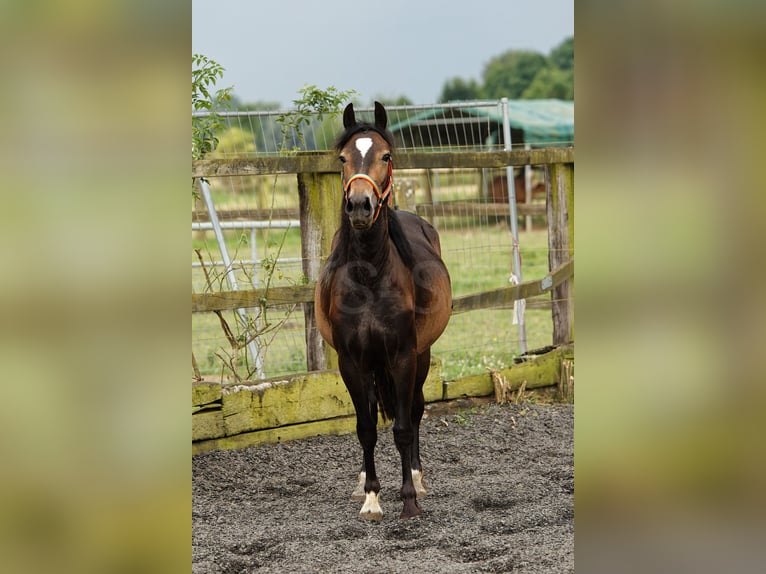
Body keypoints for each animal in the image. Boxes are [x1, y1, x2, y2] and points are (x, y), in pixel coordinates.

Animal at [316, 102, 452, 520]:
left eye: (386, 156)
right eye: (343, 158)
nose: (361, 205)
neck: (370, 276)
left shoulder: (403, 356)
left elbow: (404, 428)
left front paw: (408, 498)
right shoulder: (352, 362)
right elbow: (365, 428)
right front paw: (372, 497)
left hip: (422, 356)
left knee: (417, 410)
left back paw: (418, 479)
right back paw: (363, 482)